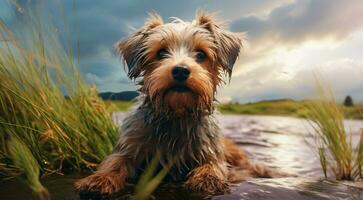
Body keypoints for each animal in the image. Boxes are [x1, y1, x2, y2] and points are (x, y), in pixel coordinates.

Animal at [74, 11, 284, 198]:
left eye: (201, 54)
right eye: (161, 53)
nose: (181, 71)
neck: (177, 113)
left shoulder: (210, 151)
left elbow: (214, 166)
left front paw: (206, 179)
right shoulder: (131, 145)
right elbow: (115, 161)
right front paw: (100, 179)